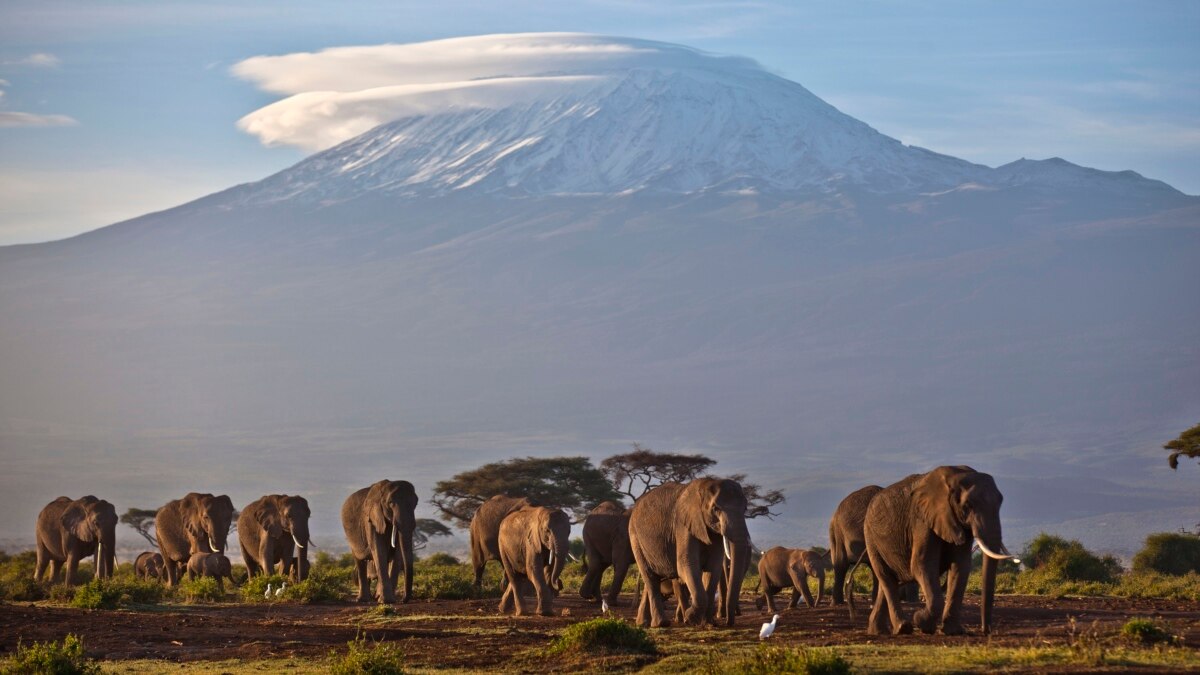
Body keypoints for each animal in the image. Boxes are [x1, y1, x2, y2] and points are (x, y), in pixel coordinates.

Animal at [628, 477, 752, 627]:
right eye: (715, 508)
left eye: (745, 508)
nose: (728, 623)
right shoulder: (683, 525)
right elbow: (686, 565)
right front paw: (690, 618)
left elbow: (713, 568)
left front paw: (709, 624)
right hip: (635, 538)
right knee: (650, 577)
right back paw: (661, 623)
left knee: (653, 579)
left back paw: (643, 623)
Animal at [862, 466, 1018, 636]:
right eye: (967, 505)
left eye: (1000, 502)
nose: (985, 631)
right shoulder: (921, 521)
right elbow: (922, 564)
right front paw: (921, 622)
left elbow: (961, 566)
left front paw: (953, 631)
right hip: (871, 538)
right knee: (886, 578)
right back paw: (903, 628)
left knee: (889, 582)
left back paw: (877, 631)